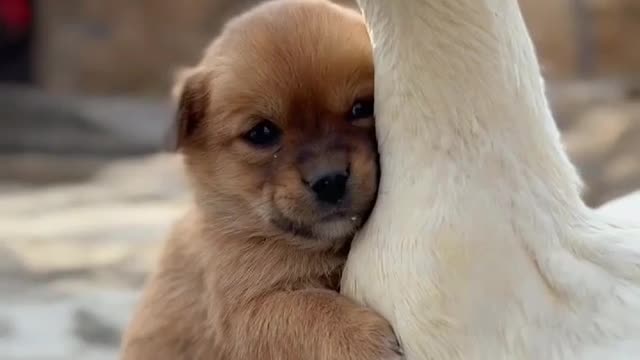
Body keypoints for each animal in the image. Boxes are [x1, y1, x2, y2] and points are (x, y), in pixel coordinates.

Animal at [120, 0, 400, 360]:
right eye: (262, 133)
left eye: (362, 108)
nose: (330, 180)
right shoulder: (248, 307)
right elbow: (309, 310)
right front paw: (362, 340)